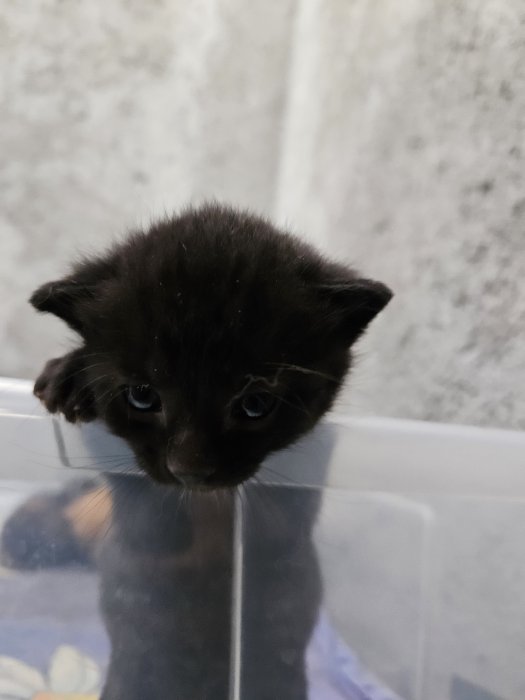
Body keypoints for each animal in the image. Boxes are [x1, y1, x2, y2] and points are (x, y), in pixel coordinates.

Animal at [2, 203, 392, 699]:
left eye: (255, 404)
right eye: (142, 397)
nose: (189, 469)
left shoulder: (287, 518)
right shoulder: (144, 516)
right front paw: (70, 374)